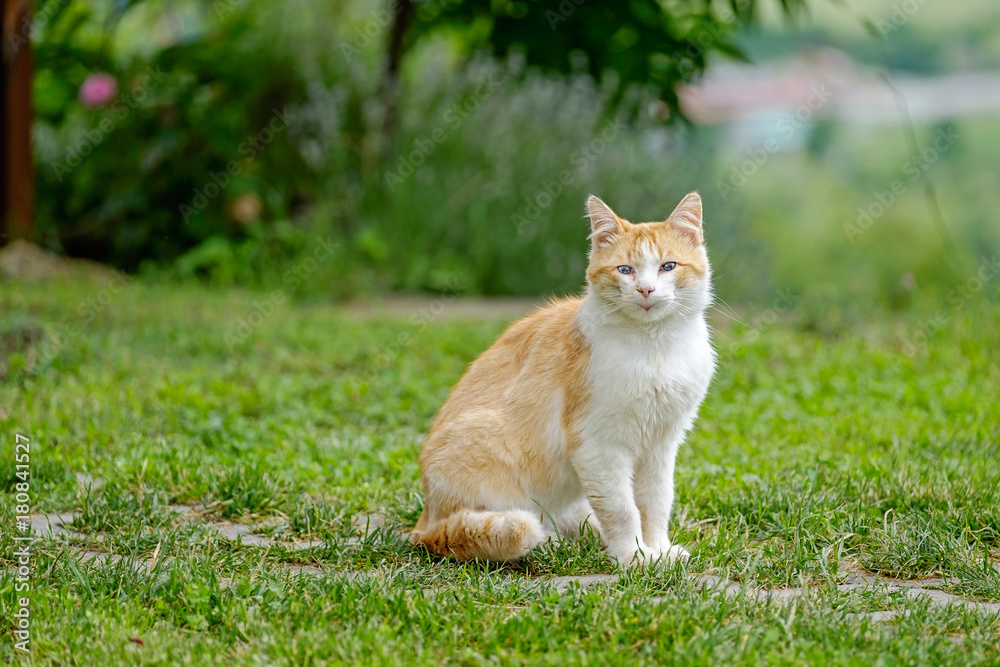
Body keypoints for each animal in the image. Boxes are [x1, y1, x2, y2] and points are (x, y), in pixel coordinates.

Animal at [410, 193, 716, 568]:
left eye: (668, 266)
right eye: (625, 270)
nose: (646, 289)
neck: (653, 347)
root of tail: (423, 522)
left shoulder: (661, 445)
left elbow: (655, 504)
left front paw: (658, 550)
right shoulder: (598, 446)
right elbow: (623, 510)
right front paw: (634, 556)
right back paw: (550, 543)